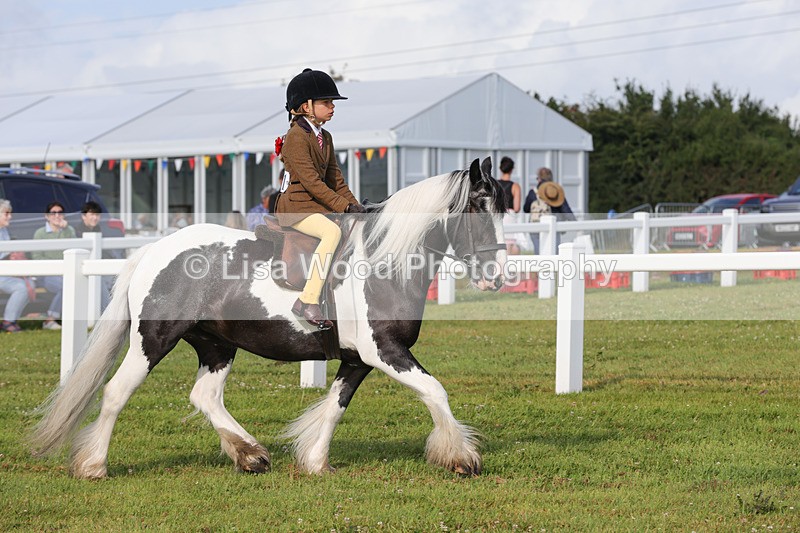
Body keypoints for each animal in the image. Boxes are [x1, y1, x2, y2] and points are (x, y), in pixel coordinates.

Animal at [29, 157, 507, 478]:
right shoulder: (385, 351)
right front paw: (461, 457)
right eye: (476, 208)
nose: (498, 276)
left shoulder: (358, 359)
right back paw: (94, 464)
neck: (383, 262)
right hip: (153, 340)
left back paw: (250, 454)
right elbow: (435, 391)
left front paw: (315, 462)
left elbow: (335, 407)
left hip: (217, 345)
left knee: (205, 396)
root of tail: (153, 250)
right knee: (115, 393)